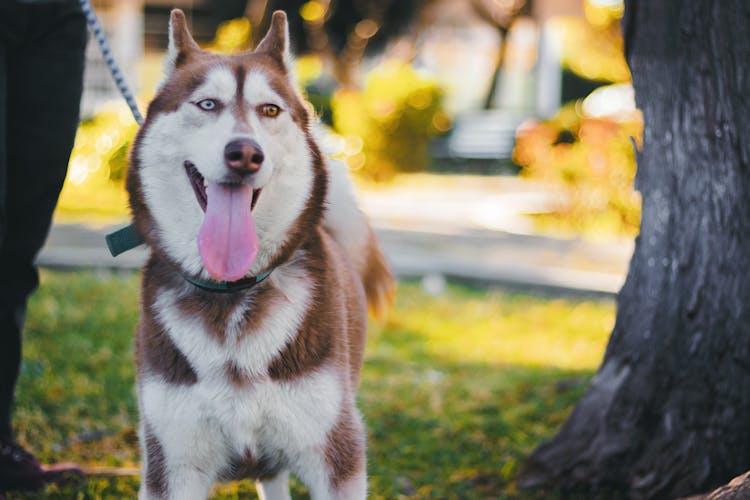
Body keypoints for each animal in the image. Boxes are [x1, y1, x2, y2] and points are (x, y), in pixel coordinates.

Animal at [129, 9, 396, 498]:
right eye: (207, 104)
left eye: (269, 109)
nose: (245, 153)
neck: (232, 296)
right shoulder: (172, 464)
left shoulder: (338, 454)